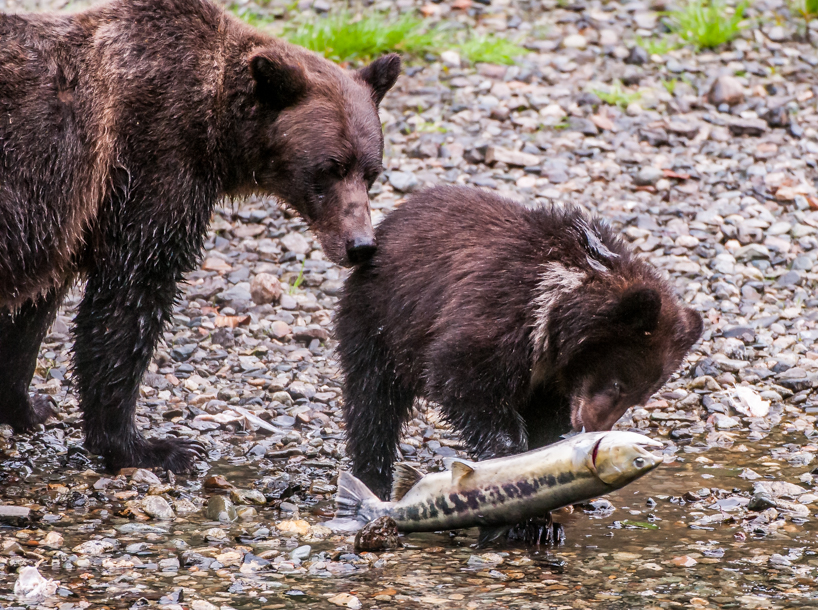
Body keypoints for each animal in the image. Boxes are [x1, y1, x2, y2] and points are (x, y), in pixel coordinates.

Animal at [0, 0, 400, 472]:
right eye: (329, 169)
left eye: (370, 172)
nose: (360, 245)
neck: (217, 134)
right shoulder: (149, 161)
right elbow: (130, 293)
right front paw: (149, 445)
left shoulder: (65, 221)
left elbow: (31, 311)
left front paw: (28, 405)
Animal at [336, 186, 703, 503]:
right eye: (617, 385)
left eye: (638, 398)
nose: (591, 426)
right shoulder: (504, 309)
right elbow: (461, 378)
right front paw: (507, 451)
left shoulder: (552, 380)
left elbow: (544, 414)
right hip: (381, 318)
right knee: (373, 400)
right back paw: (373, 474)